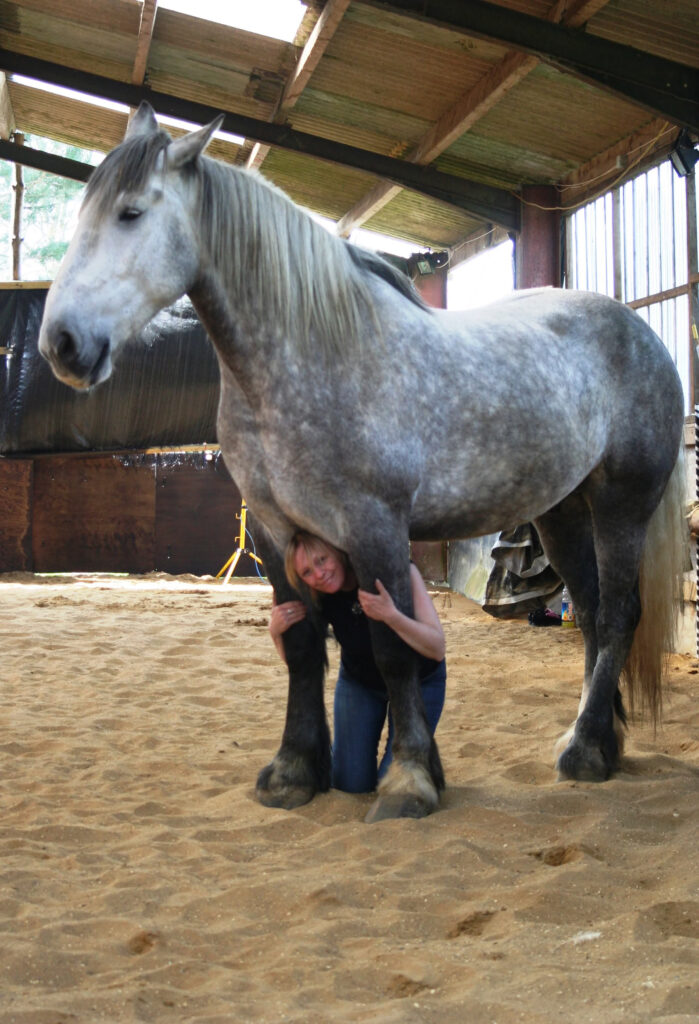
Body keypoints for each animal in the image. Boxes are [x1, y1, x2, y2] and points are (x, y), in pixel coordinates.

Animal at [38, 102, 687, 823]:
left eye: (131, 213)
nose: (62, 344)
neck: (309, 358)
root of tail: (639, 332)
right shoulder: (276, 530)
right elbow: (300, 645)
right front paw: (294, 770)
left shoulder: (373, 526)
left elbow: (394, 649)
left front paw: (408, 779)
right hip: (561, 512)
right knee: (591, 610)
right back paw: (598, 741)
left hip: (622, 502)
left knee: (617, 612)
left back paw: (585, 753)